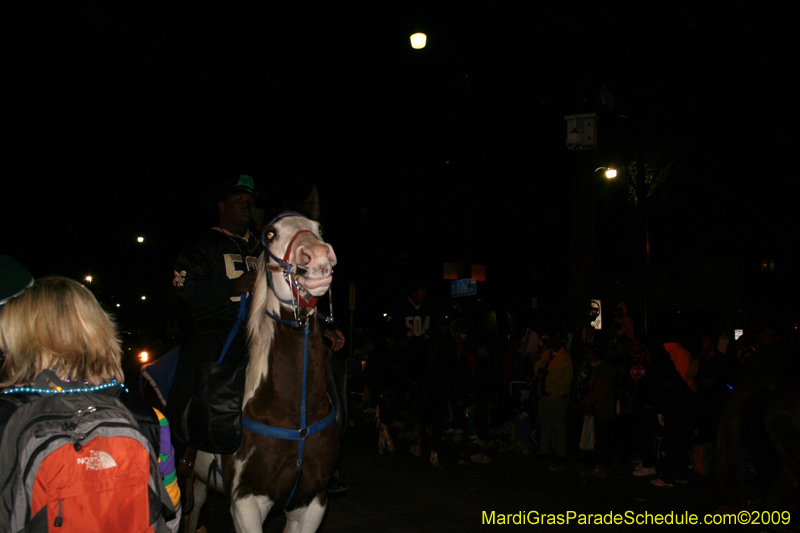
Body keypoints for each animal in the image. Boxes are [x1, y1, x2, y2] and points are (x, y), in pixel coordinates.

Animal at [189, 212, 340, 532]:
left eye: (319, 228)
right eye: (270, 234)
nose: (318, 256)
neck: (295, 414)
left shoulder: (312, 503)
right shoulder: (245, 501)